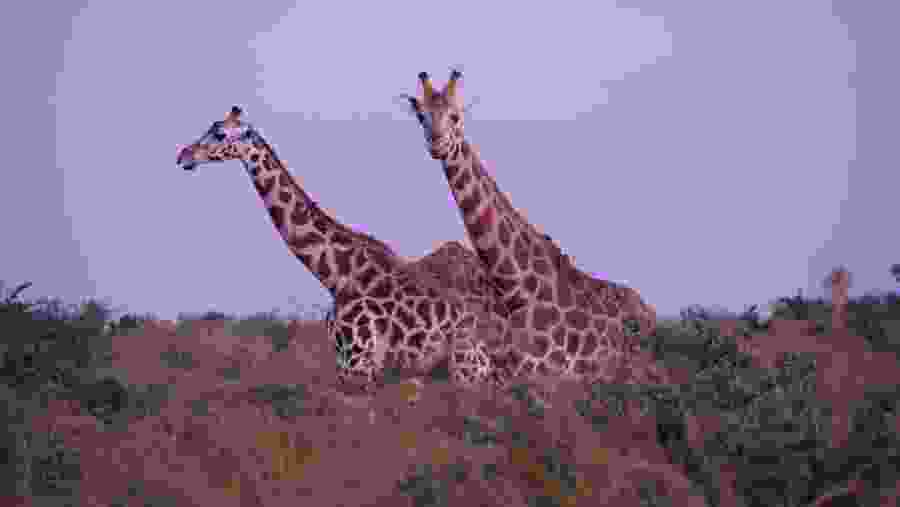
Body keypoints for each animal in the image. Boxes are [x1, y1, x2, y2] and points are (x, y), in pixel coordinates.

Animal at [176, 106, 502, 394]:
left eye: (219, 133)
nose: (184, 156)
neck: (335, 275)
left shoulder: (360, 366)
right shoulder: (345, 363)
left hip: (467, 370)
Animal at [401, 72, 670, 390]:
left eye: (455, 116)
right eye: (422, 117)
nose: (437, 145)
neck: (517, 292)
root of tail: (650, 311)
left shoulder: (533, 371)